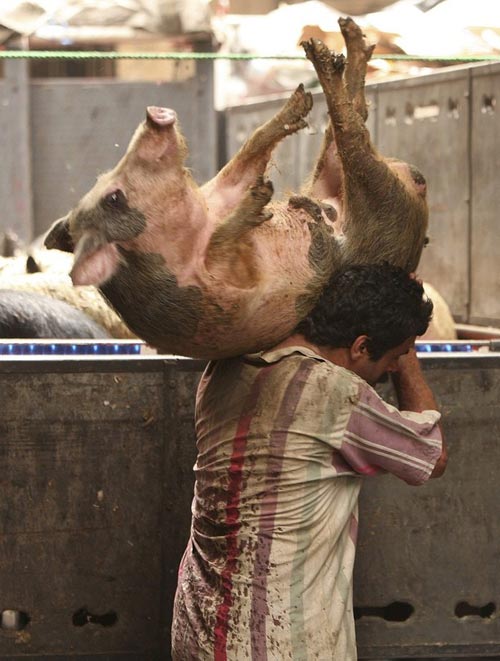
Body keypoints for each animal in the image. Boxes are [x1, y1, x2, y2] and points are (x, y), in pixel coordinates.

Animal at [45, 18, 430, 358]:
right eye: (114, 198)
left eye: (104, 184)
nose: (151, 116)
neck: (193, 232)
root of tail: (417, 184)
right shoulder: (226, 289)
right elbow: (224, 243)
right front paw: (261, 197)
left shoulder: (217, 196)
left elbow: (248, 154)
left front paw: (291, 117)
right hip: (381, 202)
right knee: (352, 133)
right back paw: (323, 56)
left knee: (353, 119)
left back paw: (340, 45)